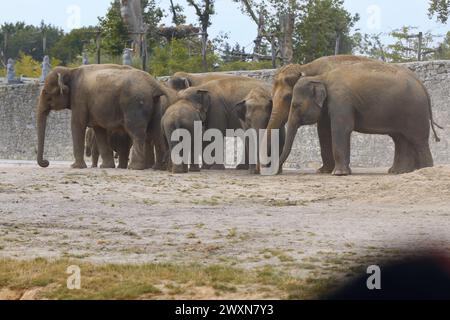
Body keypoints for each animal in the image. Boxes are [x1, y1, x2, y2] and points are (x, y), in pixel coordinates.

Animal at [35, 64, 165, 170]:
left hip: (135, 103)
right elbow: (99, 130)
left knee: (136, 132)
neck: (70, 70)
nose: (46, 162)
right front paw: (106, 166)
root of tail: (154, 86)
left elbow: (77, 124)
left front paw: (75, 167)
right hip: (156, 104)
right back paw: (158, 167)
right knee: (156, 131)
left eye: (46, 92)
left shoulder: (79, 97)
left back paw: (134, 168)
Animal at [280, 60, 442, 175]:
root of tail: (422, 86)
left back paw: (424, 170)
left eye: (295, 105)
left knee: (418, 140)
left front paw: (339, 174)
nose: (278, 172)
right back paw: (398, 172)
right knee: (401, 139)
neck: (321, 78)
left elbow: (341, 129)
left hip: (415, 112)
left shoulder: (341, 101)